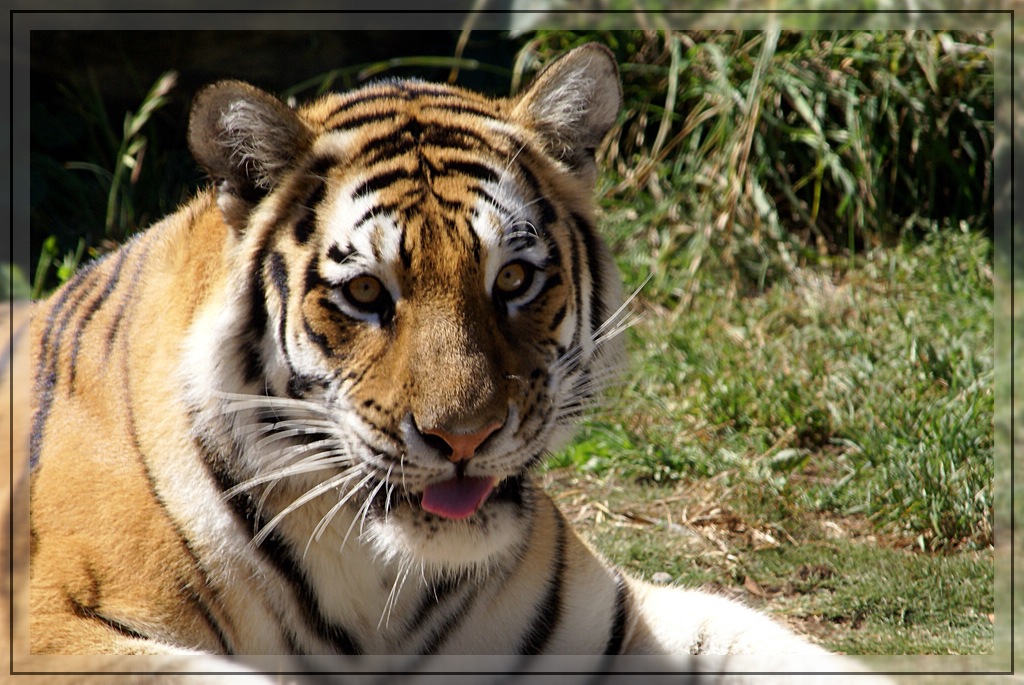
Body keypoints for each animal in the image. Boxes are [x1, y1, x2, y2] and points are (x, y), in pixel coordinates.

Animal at [3, 44, 892, 684]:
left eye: (514, 279)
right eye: (366, 291)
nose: (465, 439)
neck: (384, 580)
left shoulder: (614, 623)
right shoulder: (53, 629)